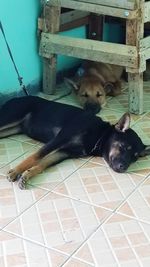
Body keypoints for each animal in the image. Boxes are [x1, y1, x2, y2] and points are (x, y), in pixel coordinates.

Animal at [0, 96, 149, 191]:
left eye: (135, 157)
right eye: (123, 147)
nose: (124, 168)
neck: (99, 134)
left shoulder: (64, 152)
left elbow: (43, 164)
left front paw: (26, 175)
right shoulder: (59, 139)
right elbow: (35, 157)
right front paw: (16, 171)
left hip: (14, 128)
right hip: (10, 118)